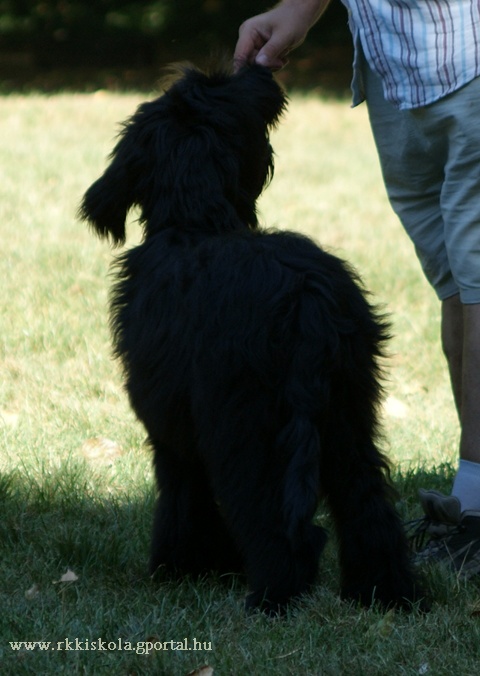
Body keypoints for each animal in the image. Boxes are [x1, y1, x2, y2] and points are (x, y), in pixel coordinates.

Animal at [80, 63, 421, 614]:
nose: (258, 72)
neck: (194, 222)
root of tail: (307, 300)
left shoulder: (171, 429)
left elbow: (183, 496)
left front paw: (180, 568)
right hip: (348, 415)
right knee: (367, 505)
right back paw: (386, 595)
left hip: (247, 424)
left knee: (272, 519)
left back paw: (272, 597)